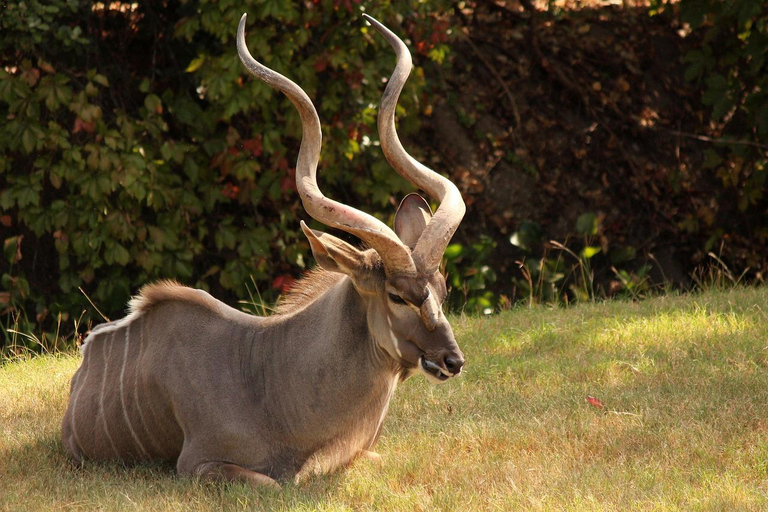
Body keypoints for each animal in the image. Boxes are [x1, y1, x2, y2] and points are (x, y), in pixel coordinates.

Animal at [60, 14, 464, 488]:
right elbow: (271, 484)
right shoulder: (197, 466)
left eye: (443, 291)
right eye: (397, 296)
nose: (452, 360)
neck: (268, 380)